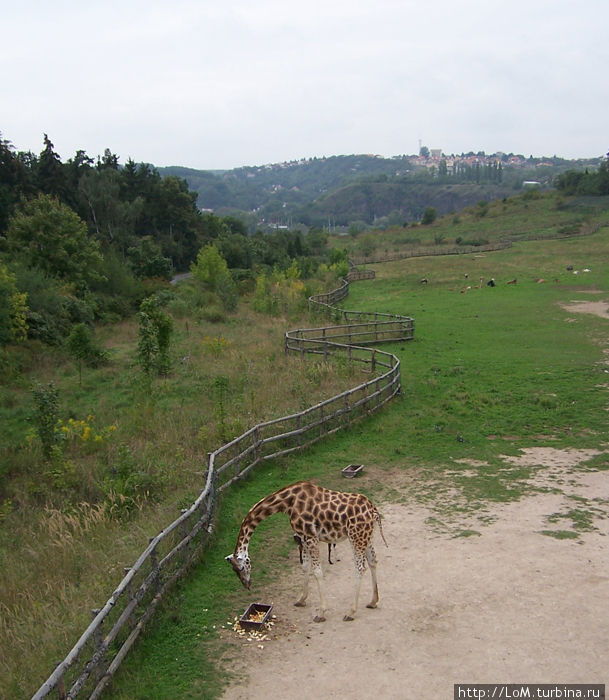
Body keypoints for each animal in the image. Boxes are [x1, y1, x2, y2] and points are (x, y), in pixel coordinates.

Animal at [226, 482, 388, 624]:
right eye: (234, 570)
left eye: (241, 567)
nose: (247, 584)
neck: (287, 502)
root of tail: (373, 510)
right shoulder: (302, 537)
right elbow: (305, 567)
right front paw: (301, 600)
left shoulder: (311, 536)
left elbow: (317, 572)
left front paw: (321, 613)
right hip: (367, 536)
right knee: (373, 561)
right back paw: (373, 601)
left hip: (356, 536)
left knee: (360, 568)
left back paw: (351, 612)